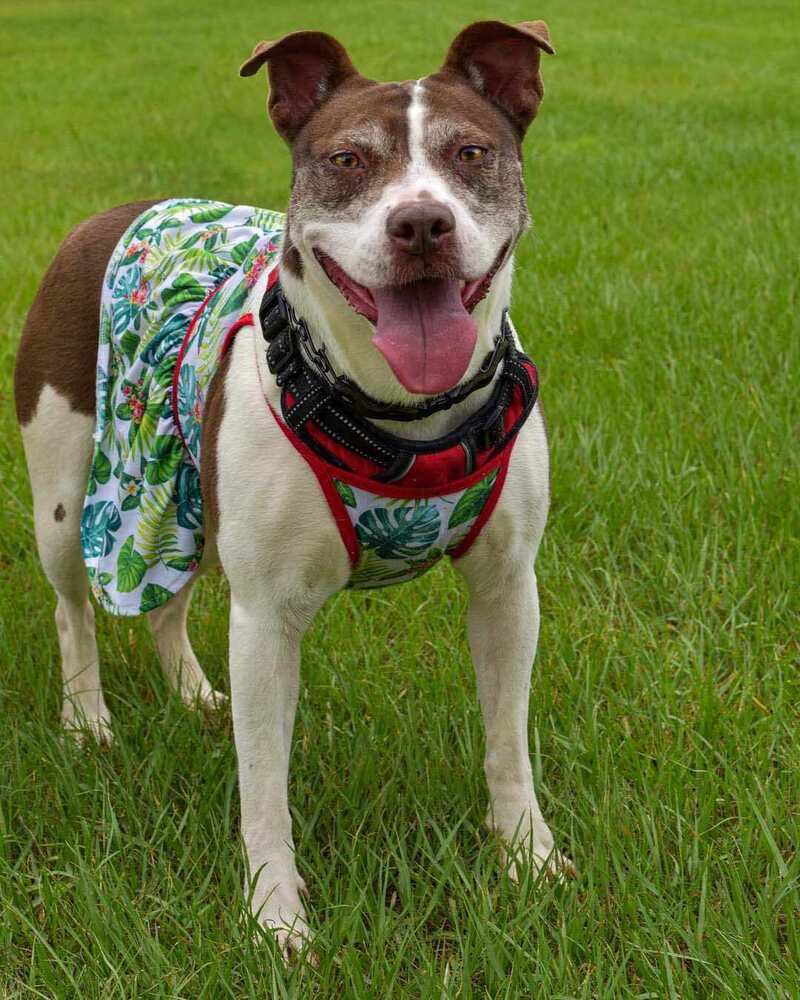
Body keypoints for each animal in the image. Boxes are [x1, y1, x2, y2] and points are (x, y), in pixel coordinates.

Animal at [12, 19, 564, 956]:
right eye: (346, 160)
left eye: (471, 152)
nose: (422, 223)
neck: (398, 414)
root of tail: (116, 214)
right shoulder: (268, 616)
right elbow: (264, 779)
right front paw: (276, 917)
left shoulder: (506, 587)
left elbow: (506, 740)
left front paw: (526, 855)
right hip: (67, 496)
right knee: (73, 607)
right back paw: (87, 721)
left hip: (182, 492)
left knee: (165, 602)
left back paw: (195, 695)